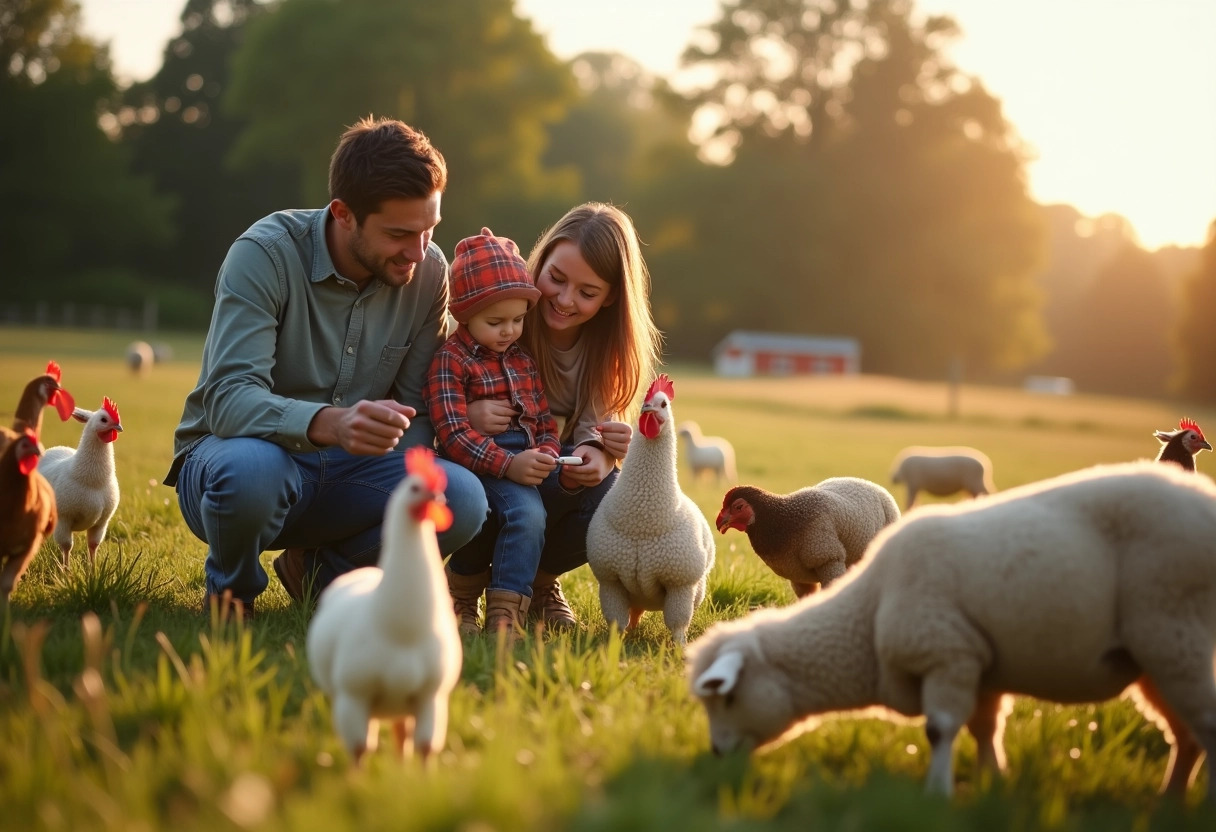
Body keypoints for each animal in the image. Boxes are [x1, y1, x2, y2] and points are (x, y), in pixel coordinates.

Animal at [38, 396, 122, 564]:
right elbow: (66, 547)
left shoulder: (101, 523)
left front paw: (93, 567)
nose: (119, 427)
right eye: (104, 419)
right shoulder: (63, 520)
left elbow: (93, 546)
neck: (93, 481)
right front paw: (66, 569)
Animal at [308, 452, 464, 763]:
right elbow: (359, 750)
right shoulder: (353, 696)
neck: (402, 629)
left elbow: (425, 748)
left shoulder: (431, 697)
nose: (438, 497)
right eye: (415, 488)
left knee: (401, 734)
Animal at [586, 374, 715, 647]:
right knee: (634, 613)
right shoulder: (610, 580)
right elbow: (616, 622)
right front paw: (613, 645)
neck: (642, 521)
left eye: (663, 404)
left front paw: (679, 647)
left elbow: (678, 625)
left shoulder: (680, 585)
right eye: (645, 400)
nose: (647, 409)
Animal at [710, 474, 904, 598]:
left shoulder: (828, 558)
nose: (719, 522)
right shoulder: (797, 576)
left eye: (738, 507)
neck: (786, 523)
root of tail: (875, 486)